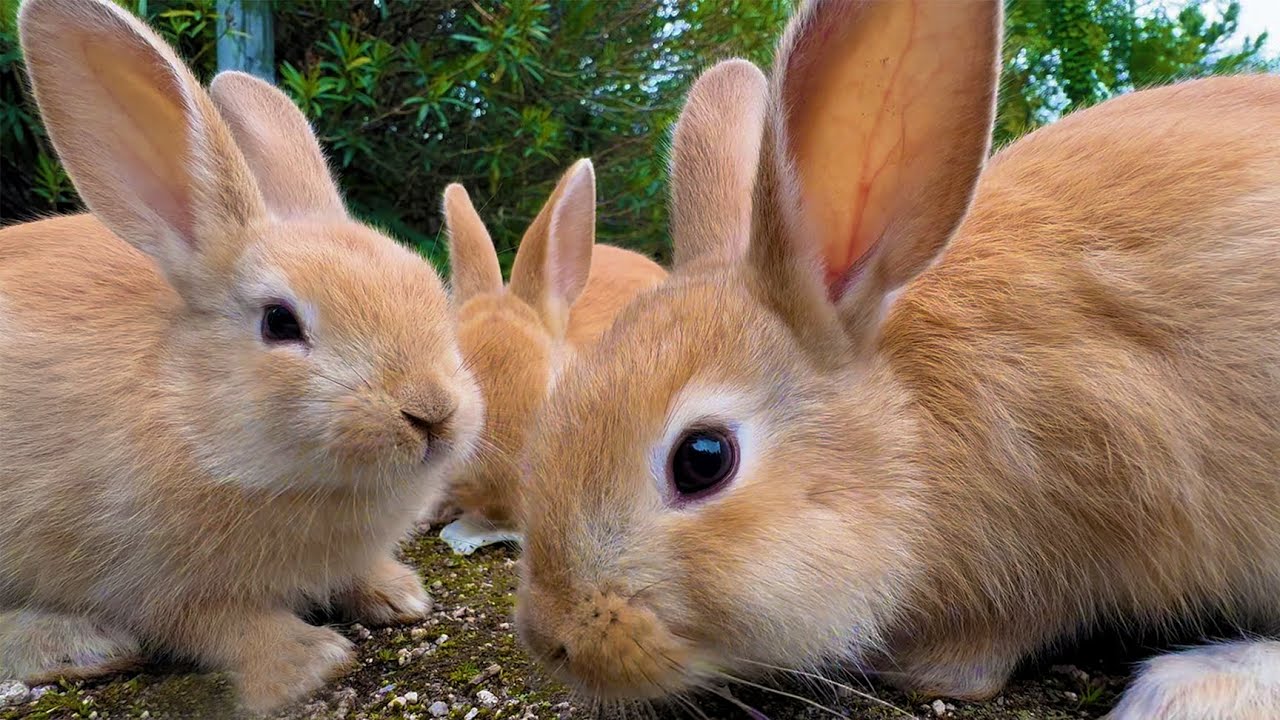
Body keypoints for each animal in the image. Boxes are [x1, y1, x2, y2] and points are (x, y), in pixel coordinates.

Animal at [0, 0, 482, 712]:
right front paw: (310, 663)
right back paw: (80, 645)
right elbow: (219, 625)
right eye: (280, 322)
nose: (431, 413)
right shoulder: (156, 579)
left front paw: (400, 596)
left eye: (427, 288)